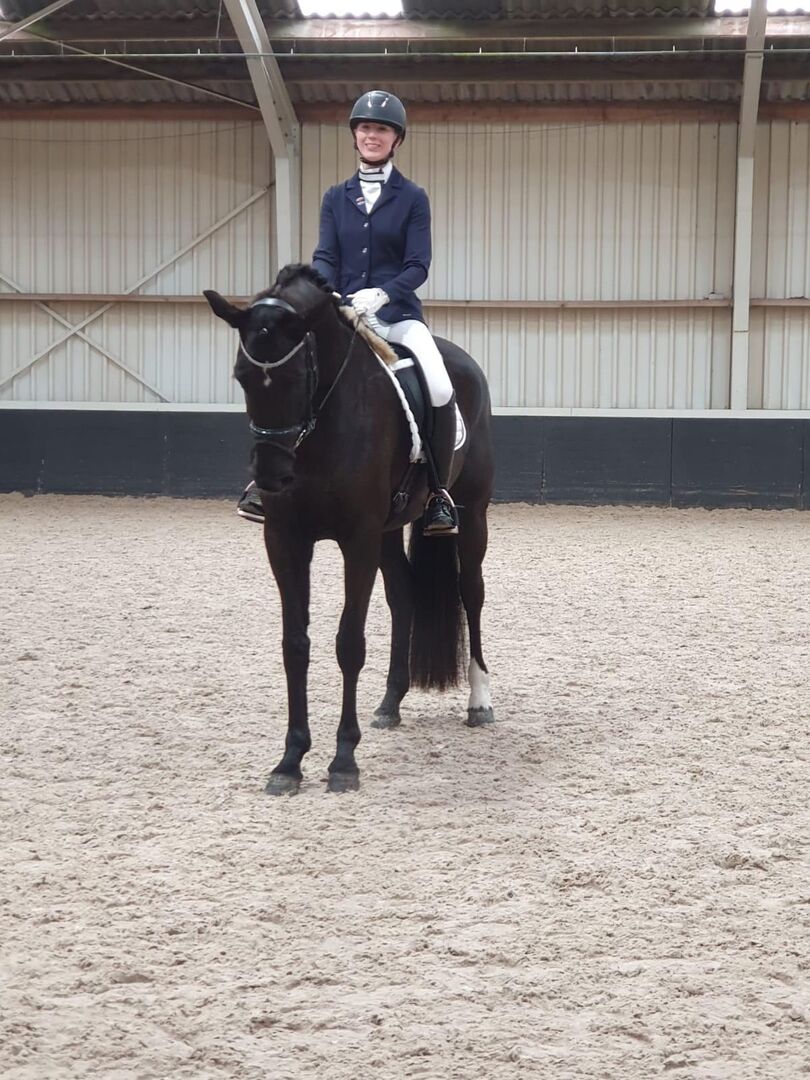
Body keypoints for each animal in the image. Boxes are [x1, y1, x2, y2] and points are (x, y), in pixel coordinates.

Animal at [204, 264, 495, 794]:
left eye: (299, 377)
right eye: (242, 378)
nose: (272, 476)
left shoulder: (356, 540)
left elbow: (349, 644)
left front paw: (343, 761)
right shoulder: (285, 540)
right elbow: (295, 644)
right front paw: (290, 761)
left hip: (471, 514)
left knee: (472, 593)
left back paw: (479, 701)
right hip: (388, 531)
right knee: (405, 595)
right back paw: (390, 704)